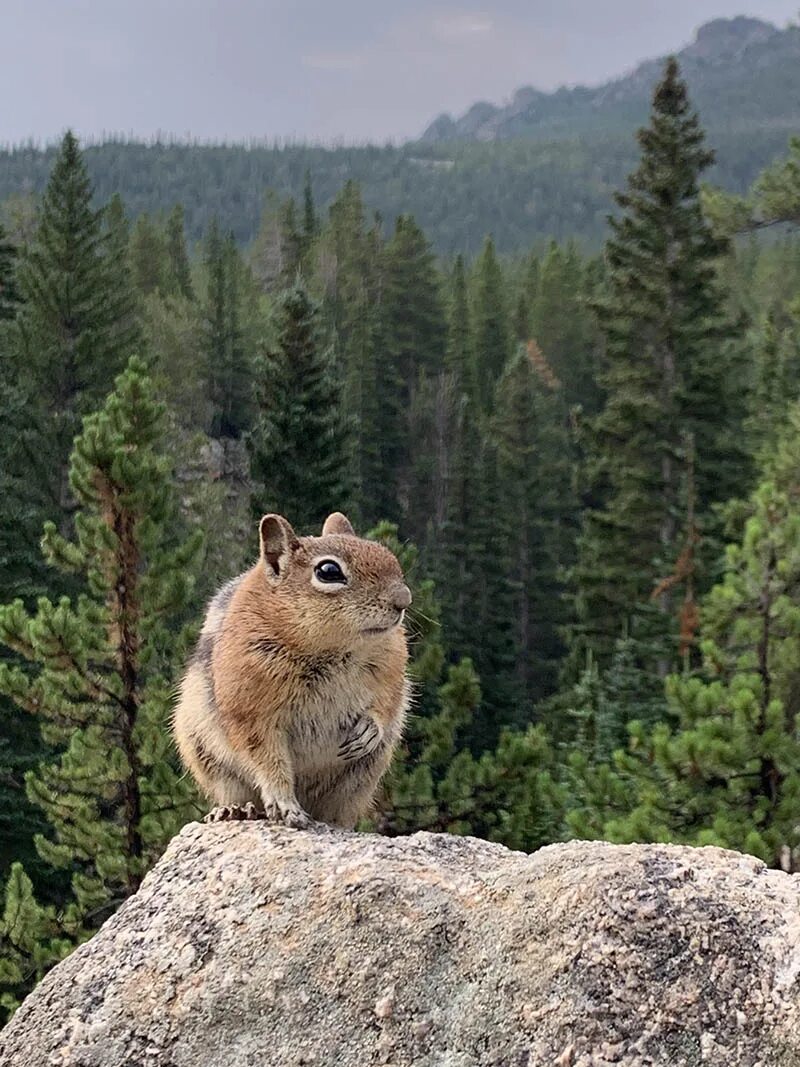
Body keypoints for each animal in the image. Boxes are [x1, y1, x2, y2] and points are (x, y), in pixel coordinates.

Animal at [174, 512, 413, 827]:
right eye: (328, 571)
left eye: (386, 554)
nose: (403, 600)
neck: (332, 651)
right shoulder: (250, 713)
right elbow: (268, 762)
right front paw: (285, 805)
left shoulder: (393, 665)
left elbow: (388, 701)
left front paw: (369, 728)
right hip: (209, 760)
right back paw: (235, 810)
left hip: (362, 776)